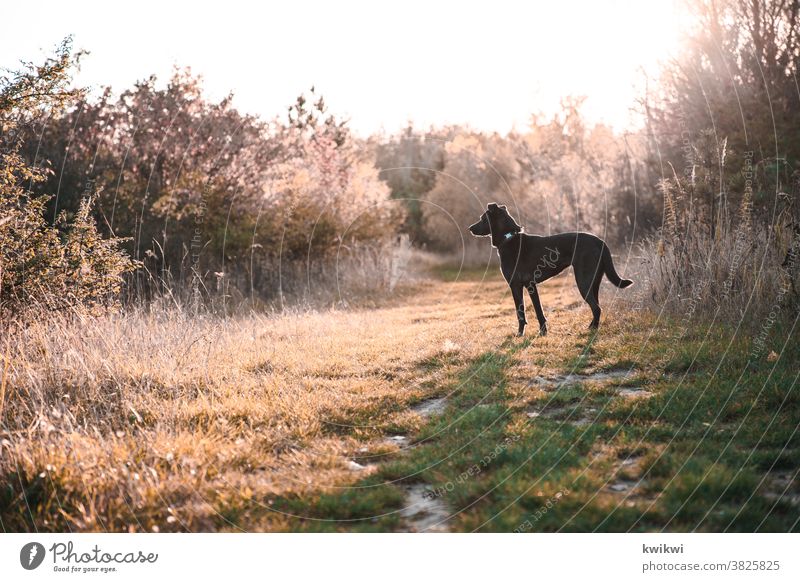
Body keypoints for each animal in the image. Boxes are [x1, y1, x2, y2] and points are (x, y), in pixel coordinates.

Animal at [468, 203, 632, 336]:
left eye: (483, 218)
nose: (469, 228)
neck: (508, 238)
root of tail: (600, 241)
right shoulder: (530, 285)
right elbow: (538, 311)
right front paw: (542, 331)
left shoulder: (516, 285)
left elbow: (523, 312)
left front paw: (521, 334)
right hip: (594, 281)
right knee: (596, 306)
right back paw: (591, 326)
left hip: (583, 281)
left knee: (597, 308)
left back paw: (592, 330)